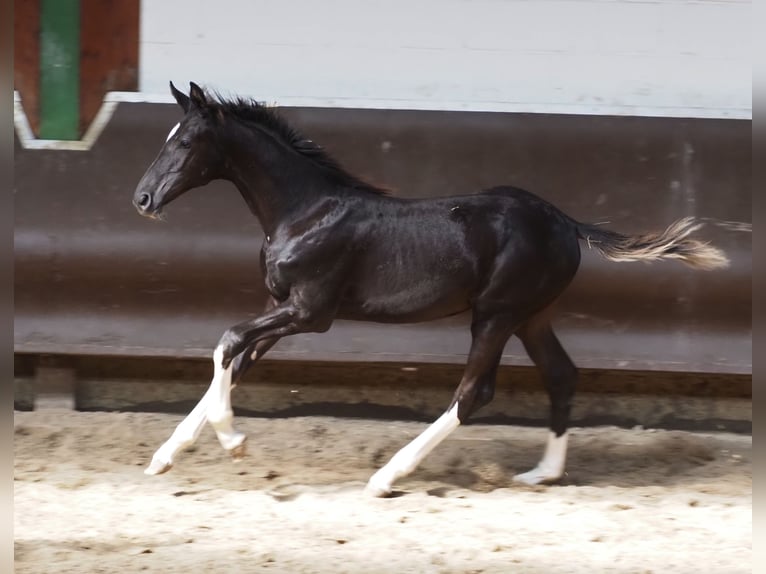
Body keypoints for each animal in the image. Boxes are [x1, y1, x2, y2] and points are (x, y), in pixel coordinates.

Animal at [135, 82, 728, 500]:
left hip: (495, 315)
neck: (305, 211)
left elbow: (227, 340)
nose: (142, 198)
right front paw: (164, 455)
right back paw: (542, 473)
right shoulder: (280, 306)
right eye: (165, 139)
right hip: (531, 316)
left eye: (185, 142)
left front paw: (233, 441)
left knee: (473, 393)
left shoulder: (309, 311)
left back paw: (387, 477)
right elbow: (234, 359)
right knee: (562, 375)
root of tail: (565, 221)